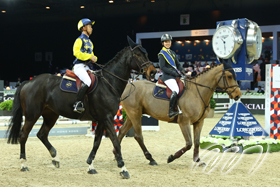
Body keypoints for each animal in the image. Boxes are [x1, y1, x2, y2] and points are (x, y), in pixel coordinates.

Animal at [6, 36, 156, 178]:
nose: (153, 72)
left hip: (51, 115)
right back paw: (23, 164)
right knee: (23, 135)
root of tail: (28, 82)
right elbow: (115, 141)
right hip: (32, 115)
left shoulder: (101, 120)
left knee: (42, 134)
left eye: (146, 53)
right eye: (137, 55)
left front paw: (90, 166)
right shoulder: (107, 118)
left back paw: (55, 158)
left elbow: (97, 142)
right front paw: (123, 169)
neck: (108, 84)